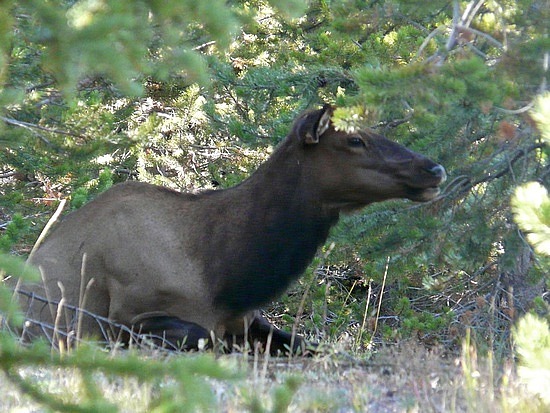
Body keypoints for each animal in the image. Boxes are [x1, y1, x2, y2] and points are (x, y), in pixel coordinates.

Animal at [17, 105, 448, 354]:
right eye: (356, 140)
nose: (434, 168)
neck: (226, 276)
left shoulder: (248, 318)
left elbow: (308, 344)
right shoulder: (125, 318)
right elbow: (205, 338)